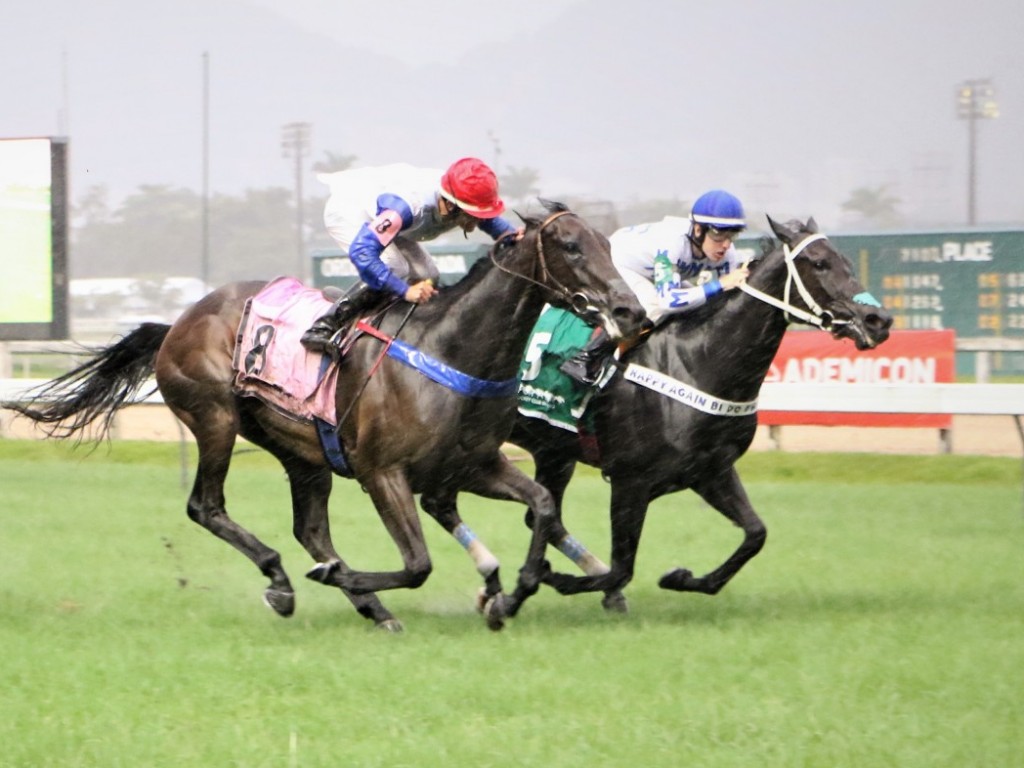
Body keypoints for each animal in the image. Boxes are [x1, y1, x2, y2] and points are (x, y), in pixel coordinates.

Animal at [8, 201, 643, 634]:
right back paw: (286, 581)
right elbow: (417, 563)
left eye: (607, 244)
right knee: (206, 506)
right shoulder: (382, 472)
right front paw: (343, 577)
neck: (452, 349)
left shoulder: (471, 466)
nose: (628, 308)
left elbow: (542, 506)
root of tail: (178, 323)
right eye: (570, 246)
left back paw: (364, 602)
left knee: (310, 528)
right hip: (215, 418)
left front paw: (512, 594)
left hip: (300, 448)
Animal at [505, 215, 897, 614]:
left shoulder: (711, 471)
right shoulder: (631, 481)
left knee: (540, 514)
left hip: (554, 454)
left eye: (845, 261)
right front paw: (551, 581)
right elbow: (621, 569)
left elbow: (756, 534)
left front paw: (681, 578)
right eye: (819, 263)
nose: (878, 319)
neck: (696, 360)